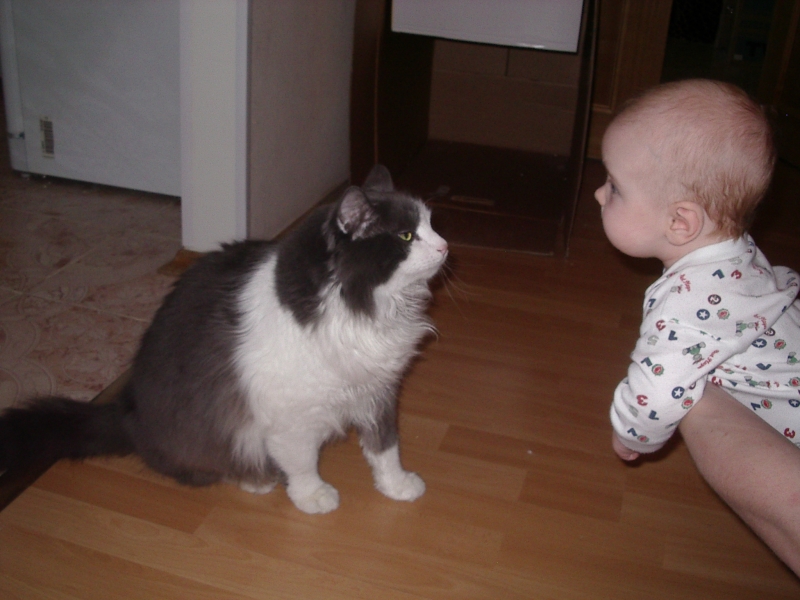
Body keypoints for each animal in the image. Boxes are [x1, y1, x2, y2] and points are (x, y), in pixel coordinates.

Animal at [0, 164, 448, 514]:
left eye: (430, 225)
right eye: (407, 237)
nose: (445, 247)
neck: (363, 306)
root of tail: (128, 411)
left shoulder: (378, 391)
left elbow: (385, 449)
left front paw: (397, 486)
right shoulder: (290, 414)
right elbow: (302, 462)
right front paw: (312, 497)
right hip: (214, 433)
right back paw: (257, 480)